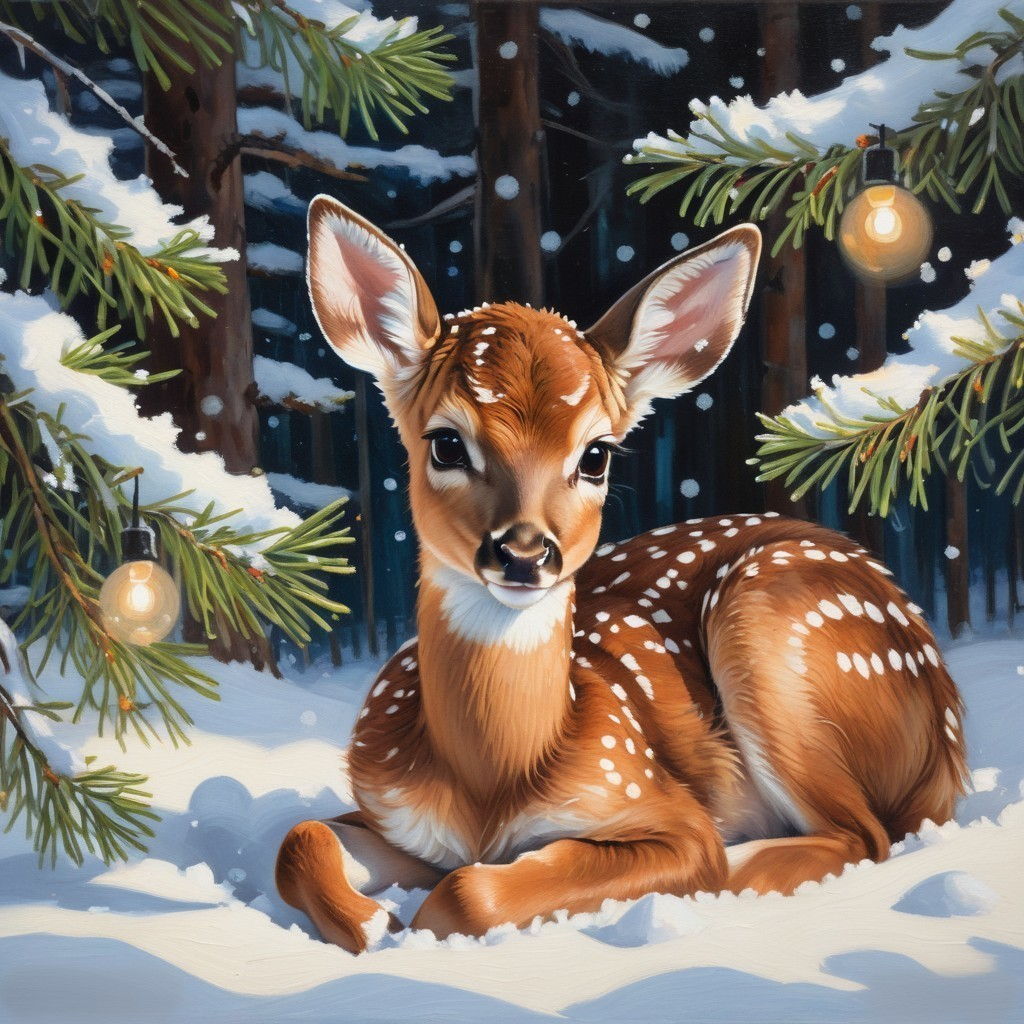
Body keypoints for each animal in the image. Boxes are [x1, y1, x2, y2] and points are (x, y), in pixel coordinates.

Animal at [275, 194, 968, 953]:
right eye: (446, 442)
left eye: (597, 454)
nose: (525, 554)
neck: (491, 785)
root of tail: (947, 730)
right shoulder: (394, 817)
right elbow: (299, 839)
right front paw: (375, 922)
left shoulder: (650, 798)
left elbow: (470, 890)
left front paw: (413, 925)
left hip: (773, 636)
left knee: (864, 834)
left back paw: (738, 870)